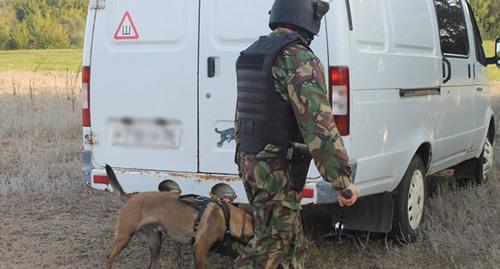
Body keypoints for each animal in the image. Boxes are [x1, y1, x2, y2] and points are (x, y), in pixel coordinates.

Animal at [104, 163, 254, 268]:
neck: (226, 214)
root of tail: (131, 197)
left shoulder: (220, 247)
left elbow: (238, 254)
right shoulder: (200, 249)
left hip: (155, 241)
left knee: (152, 264)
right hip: (124, 237)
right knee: (109, 256)